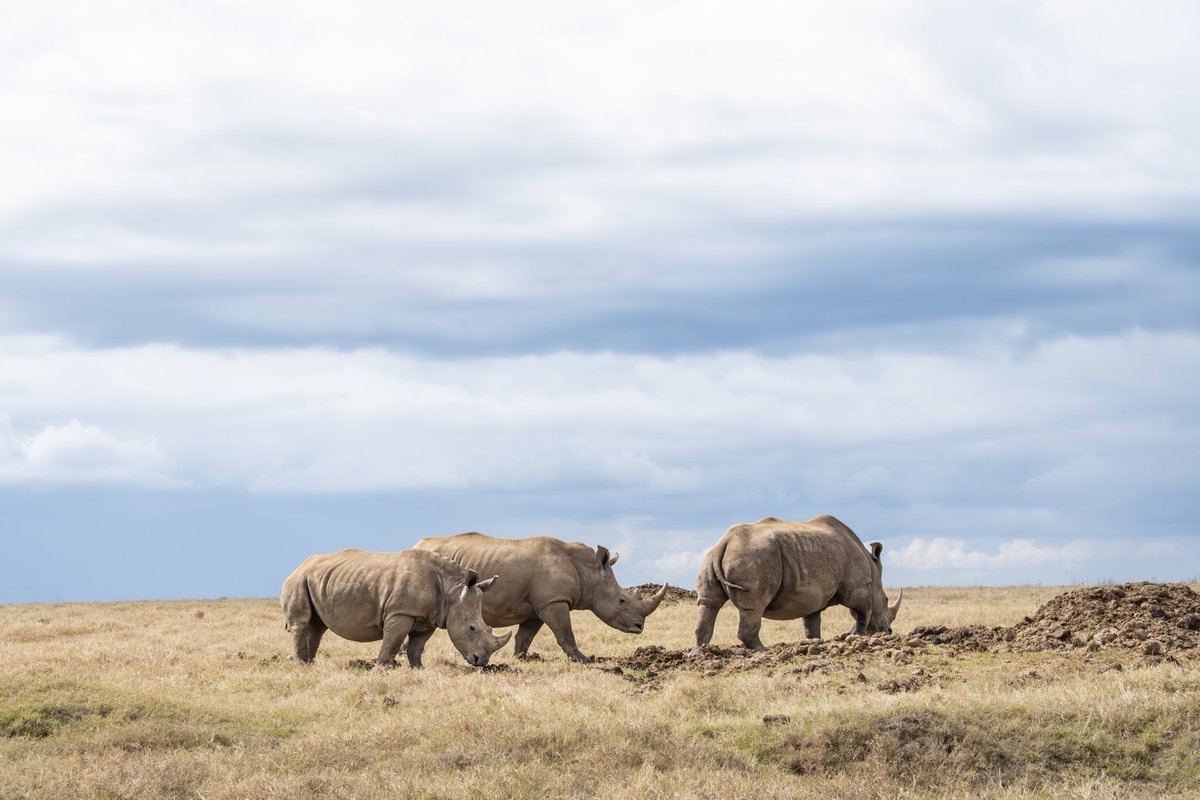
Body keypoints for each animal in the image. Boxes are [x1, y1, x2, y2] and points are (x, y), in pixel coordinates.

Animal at [281, 548, 513, 667]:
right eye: (472, 628)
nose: (482, 661)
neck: (452, 592)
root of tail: (297, 567)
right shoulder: (400, 612)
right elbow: (392, 641)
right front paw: (383, 668)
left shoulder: (429, 617)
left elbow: (417, 646)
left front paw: (418, 668)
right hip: (297, 581)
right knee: (302, 623)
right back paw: (301, 666)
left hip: (315, 580)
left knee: (317, 626)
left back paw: (310, 664)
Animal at [413, 532, 670, 663]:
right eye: (622, 601)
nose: (639, 626)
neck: (588, 571)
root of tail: (417, 543)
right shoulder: (554, 601)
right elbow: (565, 633)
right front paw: (583, 660)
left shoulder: (537, 607)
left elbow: (525, 637)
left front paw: (521, 658)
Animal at [693, 515, 902, 651]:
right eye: (885, 599)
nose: (889, 632)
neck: (872, 568)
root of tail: (725, 541)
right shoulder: (858, 588)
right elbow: (862, 613)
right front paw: (856, 637)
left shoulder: (813, 596)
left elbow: (812, 623)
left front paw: (817, 643)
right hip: (754, 556)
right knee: (753, 607)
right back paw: (763, 651)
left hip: (711, 557)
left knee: (709, 603)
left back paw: (700, 652)